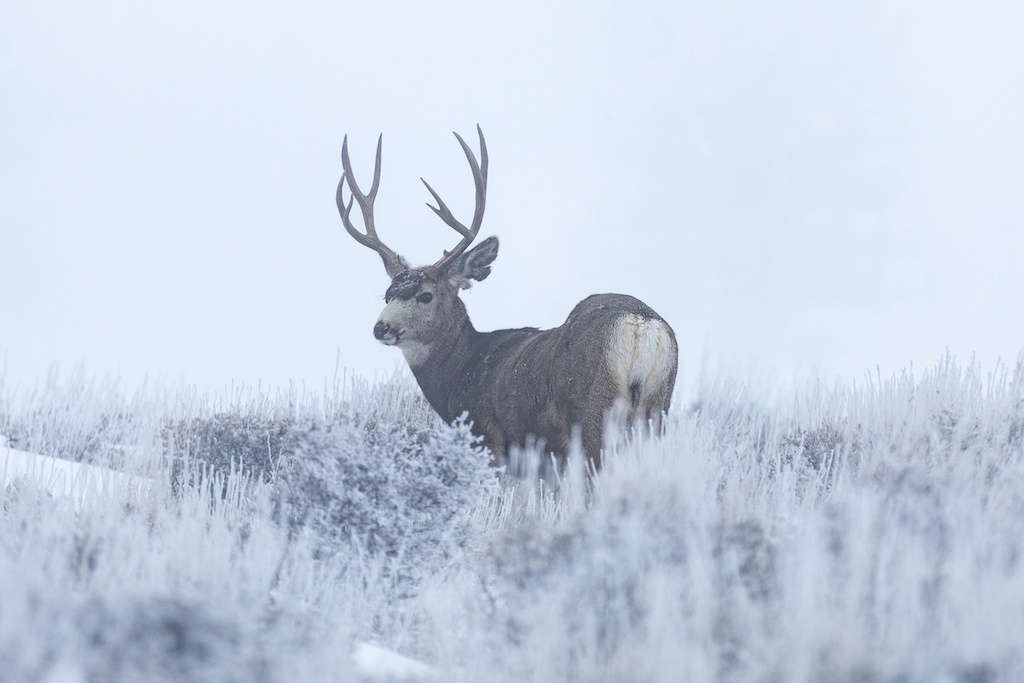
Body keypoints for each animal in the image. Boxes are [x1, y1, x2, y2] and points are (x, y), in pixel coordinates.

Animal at [336, 126, 678, 470]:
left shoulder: (489, 436)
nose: (381, 328)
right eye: (387, 295)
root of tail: (641, 324)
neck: (461, 369)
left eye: (425, 295)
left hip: (594, 410)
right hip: (657, 408)